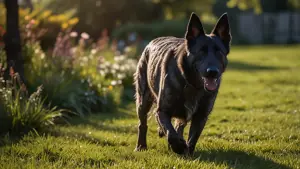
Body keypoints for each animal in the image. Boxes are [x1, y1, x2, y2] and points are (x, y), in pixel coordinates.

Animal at [134, 11, 232, 154]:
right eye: (201, 51)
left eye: (219, 51)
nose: (212, 72)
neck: (193, 84)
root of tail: (152, 41)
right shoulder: (162, 111)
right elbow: (170, 132)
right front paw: (178, 147)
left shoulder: (201, 116)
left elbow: (192, 138)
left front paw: (187, 153)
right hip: (143, 99)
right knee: (143, 124)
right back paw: (141, 146)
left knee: (178, 126)